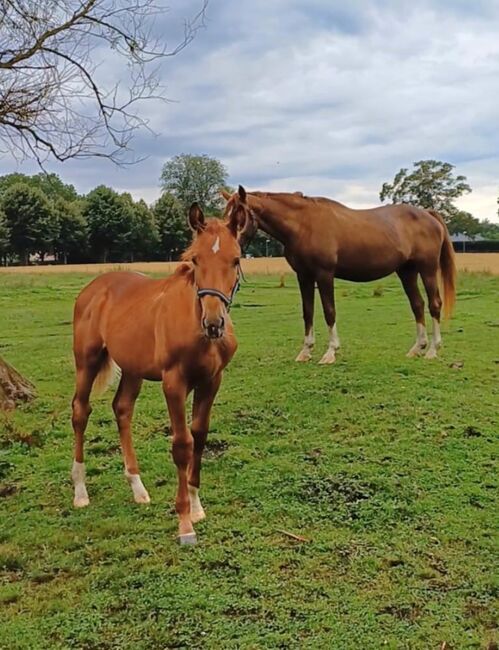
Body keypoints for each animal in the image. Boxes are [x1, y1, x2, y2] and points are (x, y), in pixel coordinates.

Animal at [70, 204, 250, 540]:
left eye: (235, 259)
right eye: (195, 259)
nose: (214, 323)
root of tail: (94, 288)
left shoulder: (211, 381)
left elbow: (199, 437)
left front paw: (196, 506)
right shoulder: (173, 383)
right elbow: (181, 444)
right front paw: (184, 523)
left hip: (133, 368)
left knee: (122, 409)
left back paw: (138, 488)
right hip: (87, 361)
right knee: (80, 411)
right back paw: (80, 491)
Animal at [223, 185, 458, 362]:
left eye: (238, 216)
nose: (229, 247)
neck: (304, 225)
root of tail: (427, 214)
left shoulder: (324, 274)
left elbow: (329, 311)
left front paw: (330, 352)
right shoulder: (304, 276)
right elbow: (308, 311)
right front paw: (305, 351)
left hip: (427, 269)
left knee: (434, 304)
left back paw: (433, 349)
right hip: (407, 271)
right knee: (417, 304)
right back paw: (417, 347)